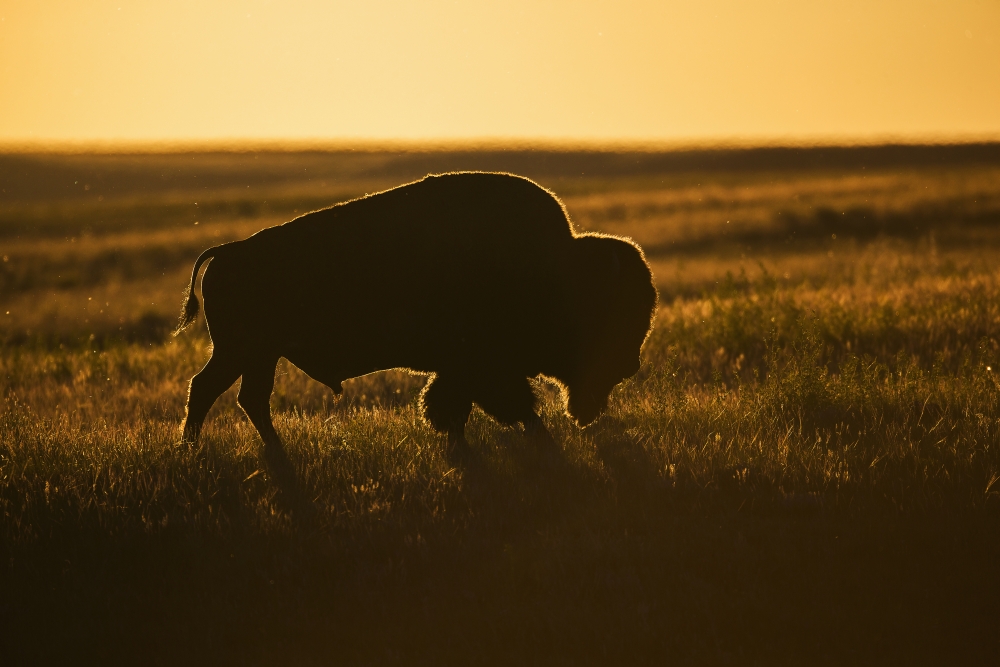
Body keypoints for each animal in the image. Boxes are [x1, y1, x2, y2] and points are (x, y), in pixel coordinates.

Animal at [176, 172, 656, 466]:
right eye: (615, 312)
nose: (630, 364)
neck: (556, 269)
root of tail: (228, 252)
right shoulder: (483, 367)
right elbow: (508, 406)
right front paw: (542, 444)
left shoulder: (464, 369)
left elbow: (456, 406)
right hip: (243, 351)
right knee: (210, 390)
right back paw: (192, 451)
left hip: (258, 355)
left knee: (244, 397)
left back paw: (262, 452)